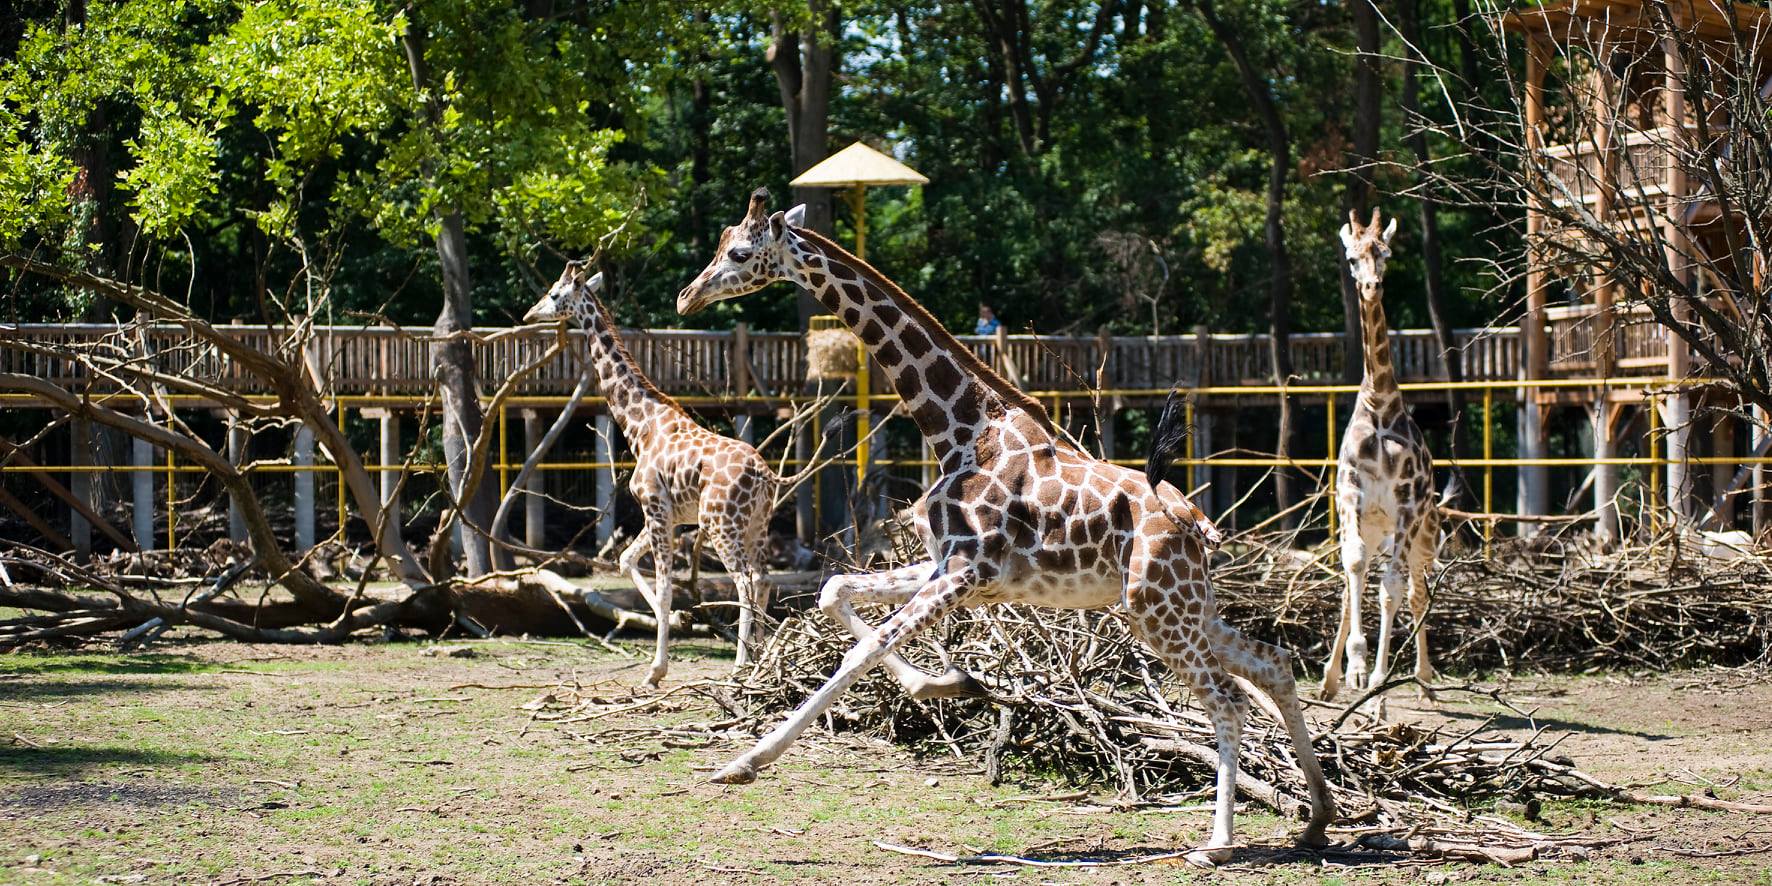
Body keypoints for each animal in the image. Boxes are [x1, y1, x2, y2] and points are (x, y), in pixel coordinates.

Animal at [520, 258, 779, 687]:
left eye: (555, 294)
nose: (529, 314)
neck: (639, 424)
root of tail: (763, 476)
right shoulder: (669, 516)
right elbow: (627, 562)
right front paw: (668, 631)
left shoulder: (655, 508)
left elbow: (663, 587)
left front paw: (655, 670)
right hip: (757, 523)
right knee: (763, 578)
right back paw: (761, 660)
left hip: (722, 524)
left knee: (745, 580)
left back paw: (741, 664)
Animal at [676, 188, 1332, 864]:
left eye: (740, 251)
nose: (686, 297)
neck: (960, 430)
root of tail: (1197, 523)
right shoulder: (953, 567)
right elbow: (836, 593)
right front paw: (951, 683)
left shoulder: (968, 570)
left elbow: (864, 649)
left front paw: (745, 763)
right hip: (1181, 606)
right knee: (1274, 664)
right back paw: (1317, 819)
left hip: (1158, 610)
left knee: (1228, 701)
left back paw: (1219, 842)